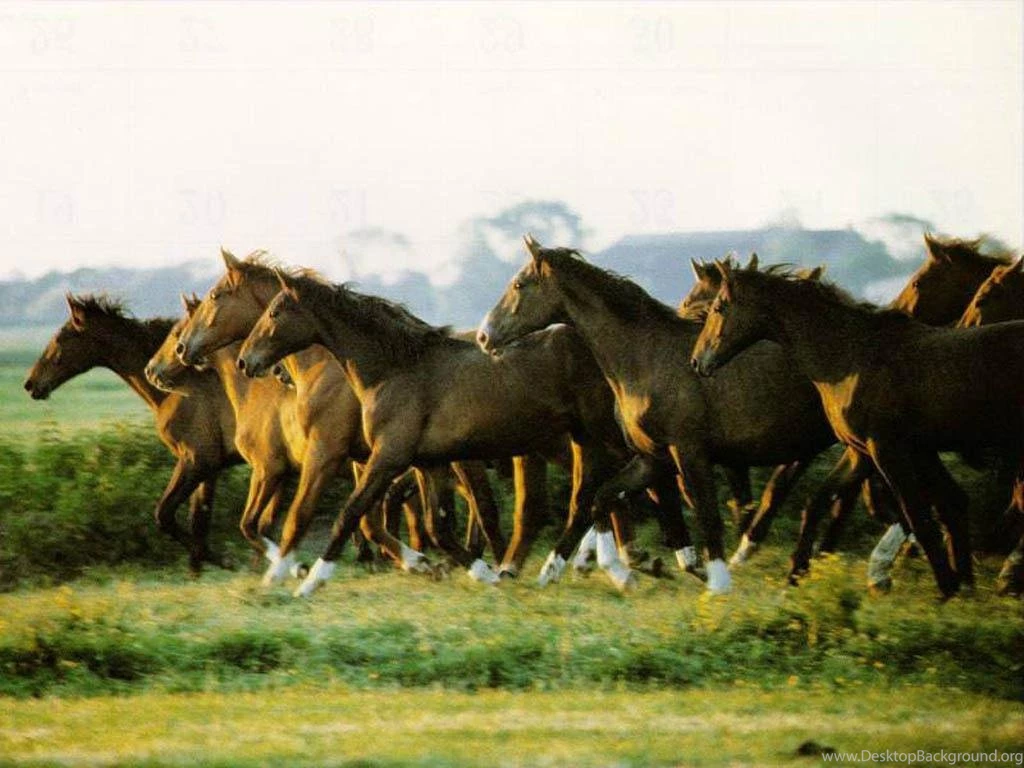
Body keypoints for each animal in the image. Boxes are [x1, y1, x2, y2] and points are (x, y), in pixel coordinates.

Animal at [24, 294, 240, 573]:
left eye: (60, 339)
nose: (31, 384)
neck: (178, 388)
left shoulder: (197, 460)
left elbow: (165, 515)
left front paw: (226, 560)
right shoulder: (209, 469)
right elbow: (198, 522)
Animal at [477, 236, 838, 594]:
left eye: (519, 284)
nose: (484, 336)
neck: (646, 357)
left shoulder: (689, 451)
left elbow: (705, 511)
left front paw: (716, 582)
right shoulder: (654, 456)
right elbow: (605, 498)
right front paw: (557, 571)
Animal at [691, 262, 1024, 597]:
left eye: (718, 307)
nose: (696, 362)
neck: (851, 359)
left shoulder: (887, 450)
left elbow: (919, 517)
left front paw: (947, 590)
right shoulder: (868, 451)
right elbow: (819, 503)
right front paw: (794, 578)